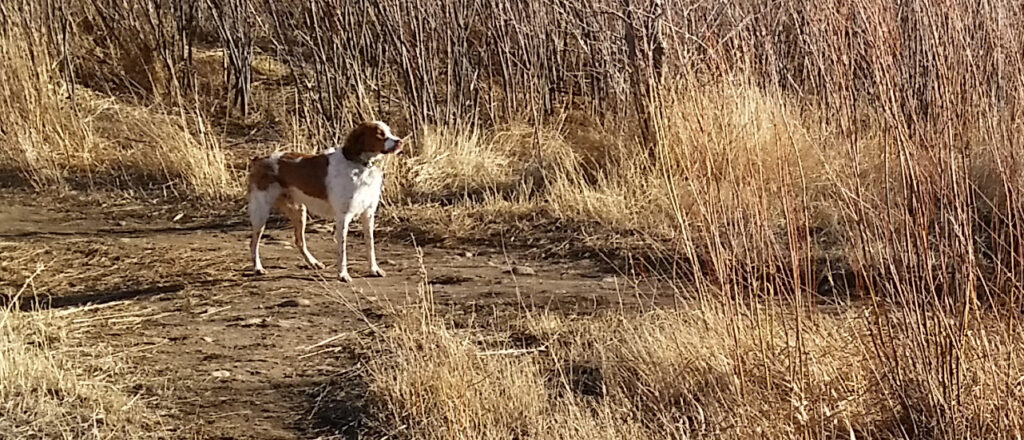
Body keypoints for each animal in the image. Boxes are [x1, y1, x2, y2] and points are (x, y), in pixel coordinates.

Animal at [247, 120, 403, 282]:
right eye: (380, 134)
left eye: (389, 132)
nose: (400, 142)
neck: (360, 166)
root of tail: (259, 159)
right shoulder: (343, 217)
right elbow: (342, 250)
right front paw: (343, 274)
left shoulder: (368, 213)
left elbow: (370, 245)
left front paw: (374, 269)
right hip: (260, 213)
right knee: (253, 243)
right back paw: (258, 268)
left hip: (299, 211)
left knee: (299, 241)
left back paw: (314, 263)